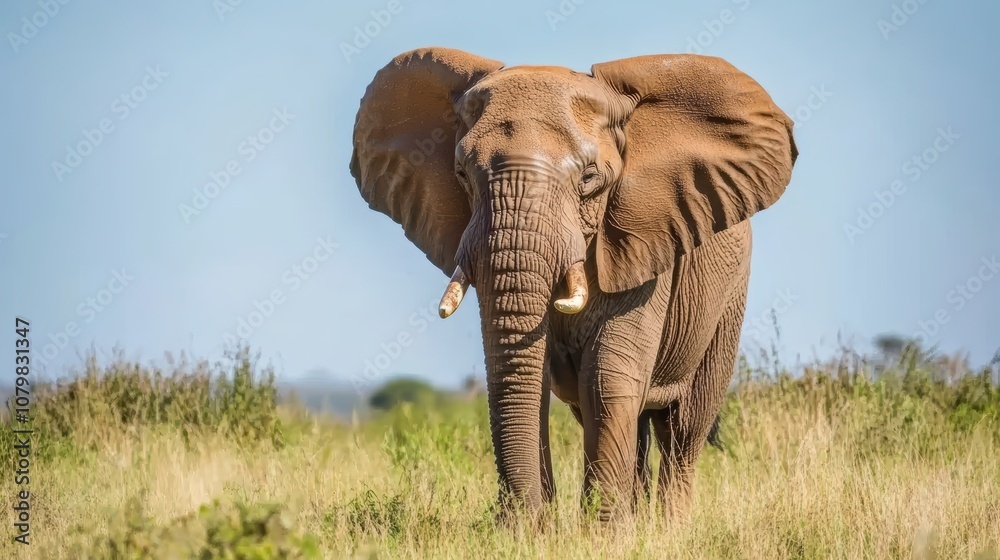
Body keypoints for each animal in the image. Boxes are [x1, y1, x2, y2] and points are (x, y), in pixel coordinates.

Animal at [349, 47, 797, 522]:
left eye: (589, 179)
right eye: (462, 174)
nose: (519, 521)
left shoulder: (646, 244)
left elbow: (606, 378)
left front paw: (599, 532)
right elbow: (539, 381)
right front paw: (554, 529)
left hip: (728, 296)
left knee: (684, 425)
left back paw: (669, 526)